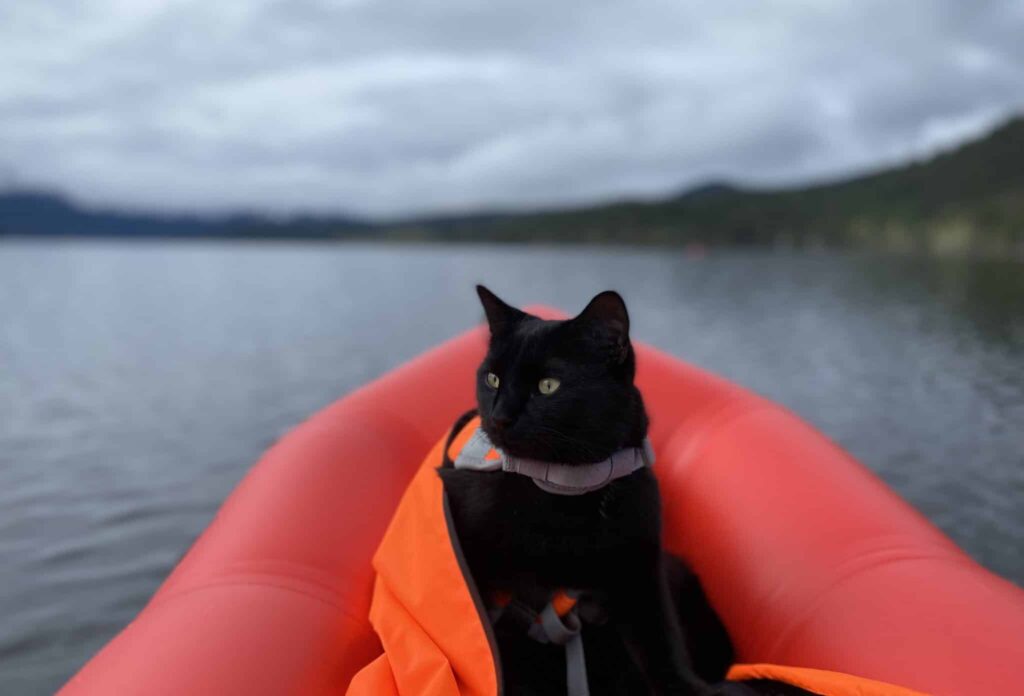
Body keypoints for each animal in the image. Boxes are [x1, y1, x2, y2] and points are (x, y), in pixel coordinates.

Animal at [436, 284, 733, 691]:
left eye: (548, 386)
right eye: (492, 379)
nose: (499, 417)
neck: (570, 490)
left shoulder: (640, 568)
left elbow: (663, 644)